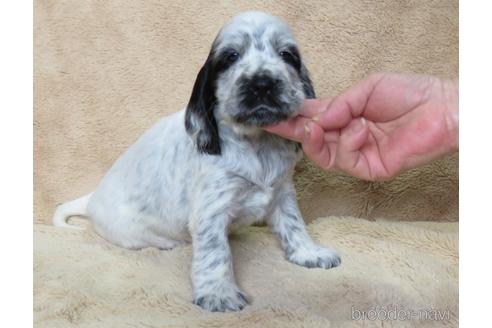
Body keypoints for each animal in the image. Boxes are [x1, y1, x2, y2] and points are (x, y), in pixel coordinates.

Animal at [52, 10, 340, 312]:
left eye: (286, 55)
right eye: (231, 56)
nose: (262, 83)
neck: (256, 143)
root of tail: (92, 198)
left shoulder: (282, 190)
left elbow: (294, 223)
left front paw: (309, 253)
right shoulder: (211, 208)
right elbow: (215, 253)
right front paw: (218, 293)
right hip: (132, 233)